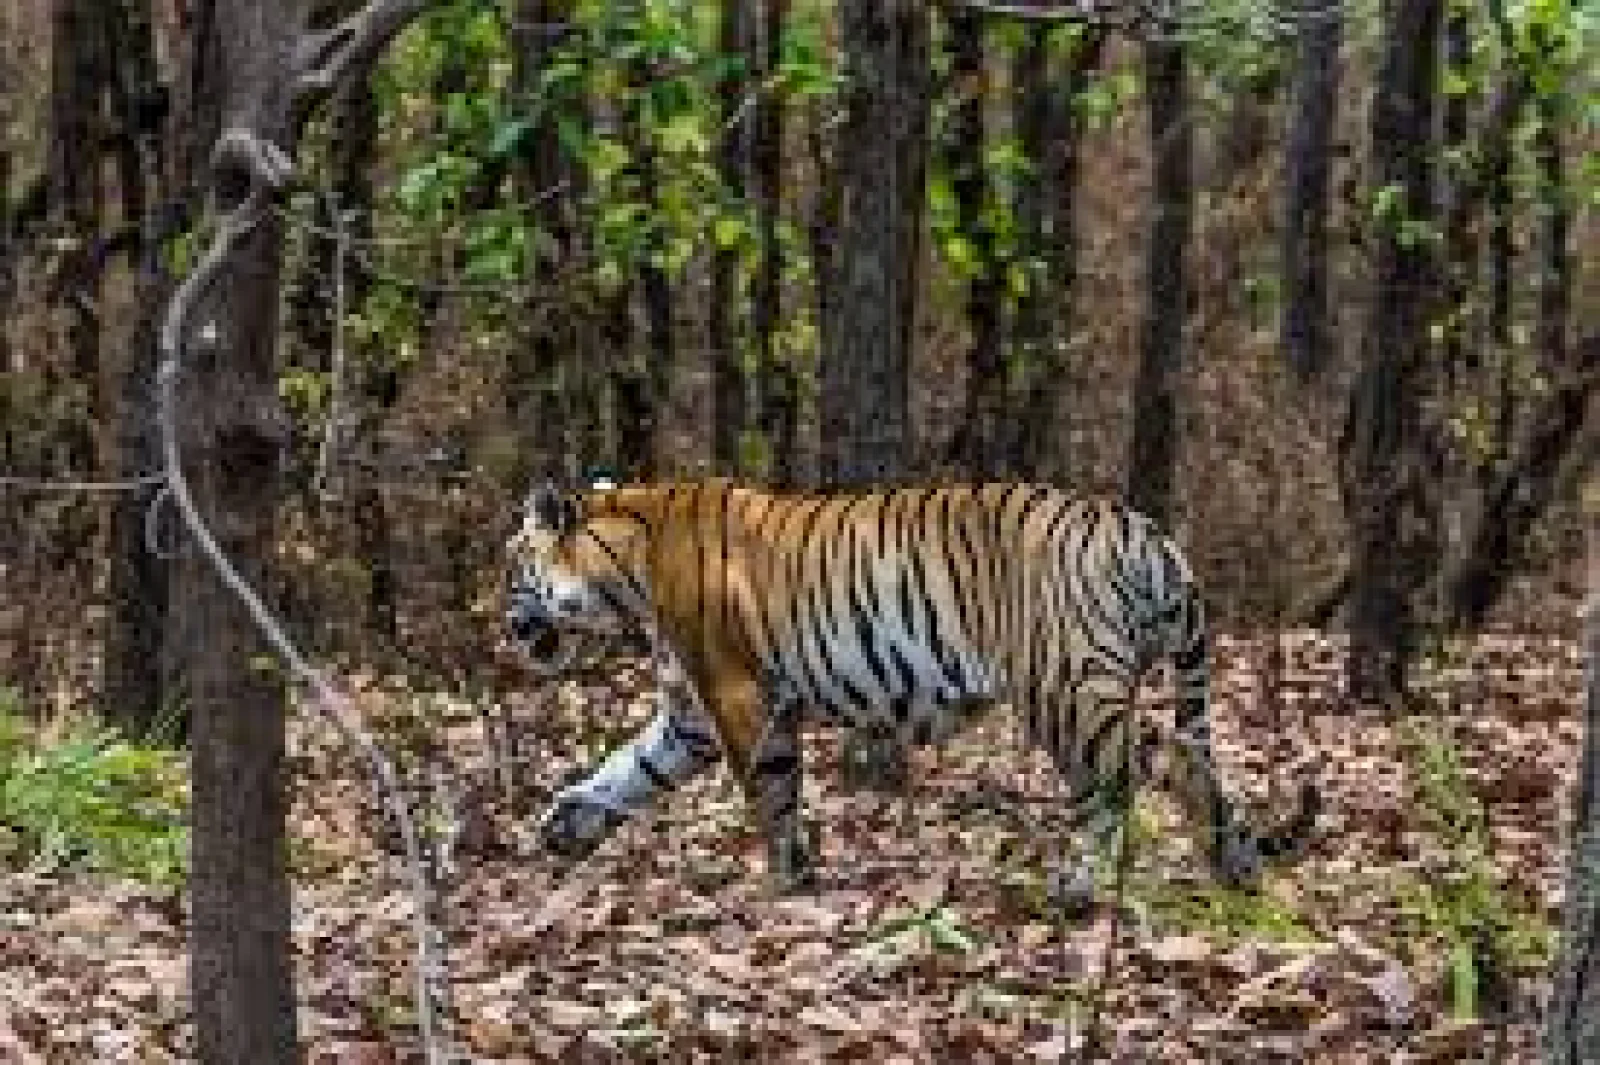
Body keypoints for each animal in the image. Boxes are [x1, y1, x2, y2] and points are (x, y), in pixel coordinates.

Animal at [503, 478, 1318, 910]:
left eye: (512, 567)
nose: (503, 623)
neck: (623, 570)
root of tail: (1147, 533)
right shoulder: (690, 718)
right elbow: (624, 771)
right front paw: (564, 826)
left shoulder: (740, 697)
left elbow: (770, 794)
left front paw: (786, 884)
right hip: (1076, 697)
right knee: (1128, 782)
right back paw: (1196, 870)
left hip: (1066, 688)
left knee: (1160, 763)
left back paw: (1160, 878)